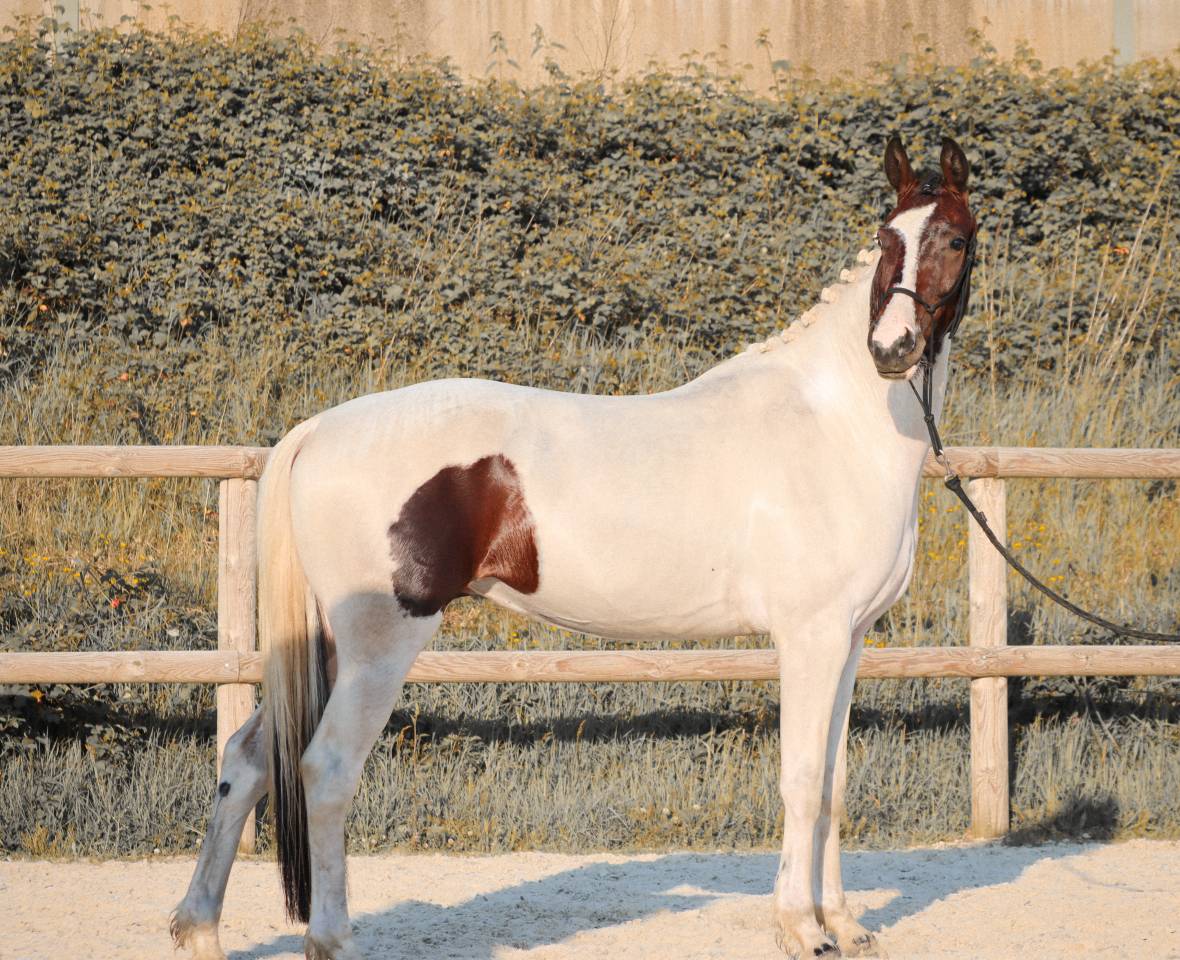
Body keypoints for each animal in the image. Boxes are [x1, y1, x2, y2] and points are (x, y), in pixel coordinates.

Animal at [172, 134, 977, 960]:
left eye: (953, 238)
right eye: (887, 240)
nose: (892, 349)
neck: (833, 424)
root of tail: (318, 429)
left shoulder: (849, 641)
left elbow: (837, 784)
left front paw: (843, 923)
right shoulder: (810, 638)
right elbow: (804, 780)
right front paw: (802, 928)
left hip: (327, 649)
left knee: (247, 760)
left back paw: (198, 928)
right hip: (376, 647)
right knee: (327, 770)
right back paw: (331, 939)